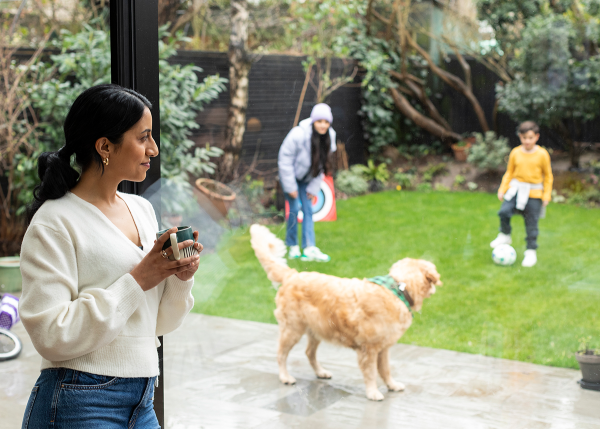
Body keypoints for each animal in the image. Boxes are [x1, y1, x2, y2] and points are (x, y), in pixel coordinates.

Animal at [248, 222, 440, 400]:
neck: (398, 289)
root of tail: (292, 275)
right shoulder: (369, 349)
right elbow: (371, 372)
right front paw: (373, 392)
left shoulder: (384, 347)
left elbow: (386, 370)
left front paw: (392, 385)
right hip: (292, 329)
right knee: (281, 354)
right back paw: (285, 377)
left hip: (316, 330)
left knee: (309, 353)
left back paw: (321, 372)